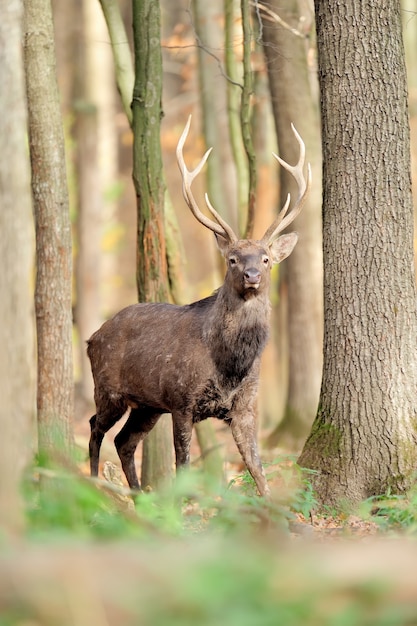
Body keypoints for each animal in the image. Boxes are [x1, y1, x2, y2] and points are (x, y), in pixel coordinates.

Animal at [87, 117, 308, 494]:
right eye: (232, 259)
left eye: (266, 259)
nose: (251, 274)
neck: (229, 364)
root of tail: (92, 337)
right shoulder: (181, 400)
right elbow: (184, 466)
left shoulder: (245, 407)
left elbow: (258, 469)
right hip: (109, 388)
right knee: (94, 428)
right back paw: (89, 485)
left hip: (147, 406)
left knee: (124, 441)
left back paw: (138, 495)